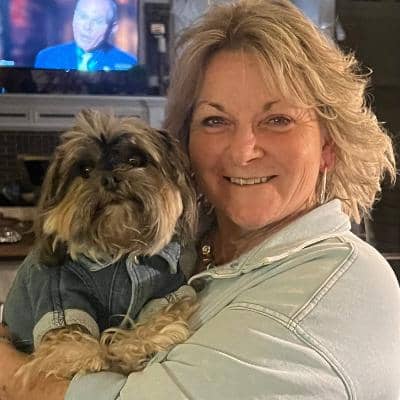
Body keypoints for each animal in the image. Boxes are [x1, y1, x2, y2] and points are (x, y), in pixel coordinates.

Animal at [3, 109, 198, 382]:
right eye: (85, 169)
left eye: (135, 159)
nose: (109, 178)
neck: (117, 250)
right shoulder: (58, 296)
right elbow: (68, 339)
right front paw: (89, 354)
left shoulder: (166, 290)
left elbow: (164, 312)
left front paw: (142, 341)